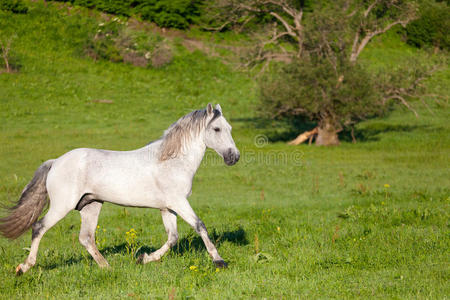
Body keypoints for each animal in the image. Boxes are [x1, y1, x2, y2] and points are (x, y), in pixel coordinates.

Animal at [0, 103, 239, 274]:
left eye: (230, 129)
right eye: (217, 129)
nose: (234, 157)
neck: (172, 161)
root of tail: (56, 162)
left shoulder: (167, 207)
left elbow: (172, 238)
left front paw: (143, 259)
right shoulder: (179, 202)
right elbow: (200, 226)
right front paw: (219, 261)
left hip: (91, 205)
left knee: (86, 238)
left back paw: (107, 267)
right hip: (63, 205)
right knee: (39, 227)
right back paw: (23, 268)